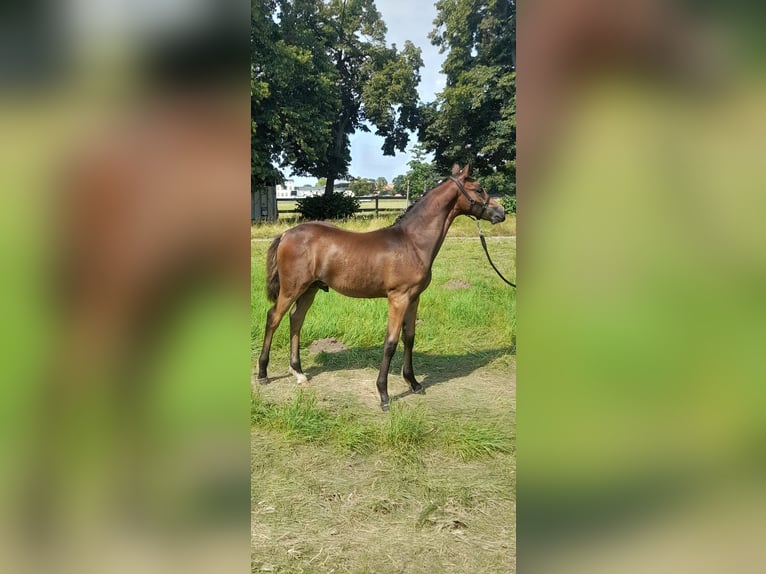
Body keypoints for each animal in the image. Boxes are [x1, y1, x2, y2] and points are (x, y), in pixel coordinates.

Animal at [260, 164, 510, 412]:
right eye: (478, 189)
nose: (502, 212)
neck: (412, 242)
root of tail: (285, 234)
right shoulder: (398, 298)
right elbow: (390, 343)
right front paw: (384, 395)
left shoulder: (414, 298)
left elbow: (409, 337)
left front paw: (414, 383)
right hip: (292, 288)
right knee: (274, 317)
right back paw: (263, 373)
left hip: (309, 289)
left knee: (296, 319)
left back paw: (299, 373)